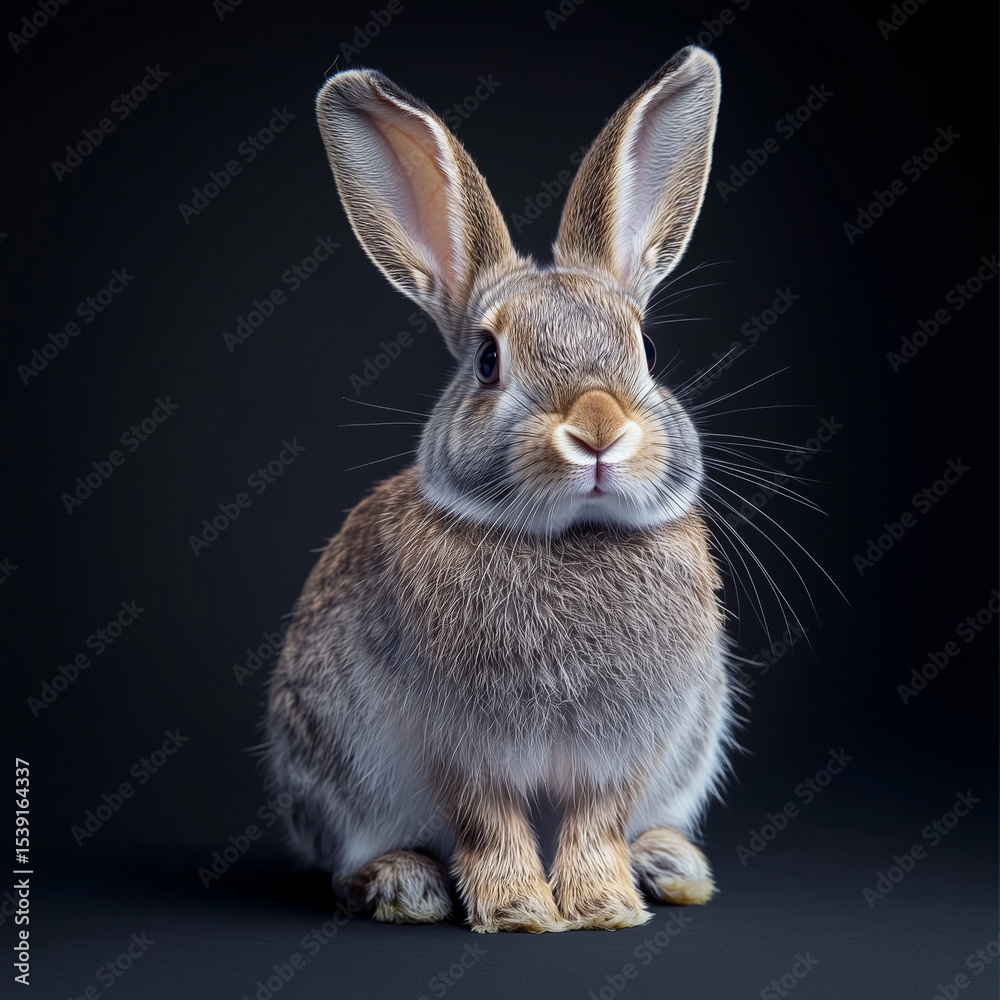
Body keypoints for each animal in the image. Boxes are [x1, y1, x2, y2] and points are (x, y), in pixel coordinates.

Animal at [265, 45, 738, 933]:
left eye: (647, 350)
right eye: (488, 361)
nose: (597, 428)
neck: (569, 539)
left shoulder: (623, 752)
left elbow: (595, 824)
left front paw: (603, 907)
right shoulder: (459, 751)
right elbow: (490, 825)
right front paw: (520, 910)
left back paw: (671, 865)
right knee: (346, 865)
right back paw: (403, 886)